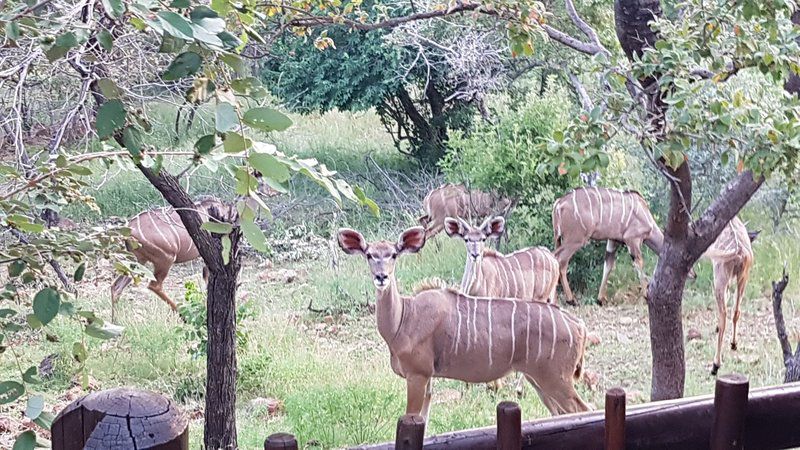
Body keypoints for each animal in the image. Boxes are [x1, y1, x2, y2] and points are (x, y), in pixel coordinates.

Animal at [336, 227, 588, 420]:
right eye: (369, 255)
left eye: (394, 254)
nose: (381, 277)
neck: (404, 318)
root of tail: (579, 326)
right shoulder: (428, 380)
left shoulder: (417, 375)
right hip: (538, 379)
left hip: (556, 379)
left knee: (582, 409)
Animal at [704, 216, 760, 374]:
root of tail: (739, 252)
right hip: (743, 277)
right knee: (736, 310)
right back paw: (734, 344)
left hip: (720, 277)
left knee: (724, 314)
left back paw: (715, 365)